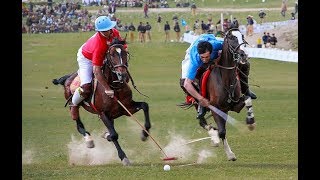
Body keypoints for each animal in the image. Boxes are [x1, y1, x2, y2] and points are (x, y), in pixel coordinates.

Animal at [192, 28, 255, 161]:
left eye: (242, 36)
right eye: (232, 38)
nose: (244, 55)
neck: (226, 79)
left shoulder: (234, 106)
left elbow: (247, 99)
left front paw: (251, 122)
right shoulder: (216, 108)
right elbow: (222, 131)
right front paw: (230, 154)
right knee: (202, 120)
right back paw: (214, 137)